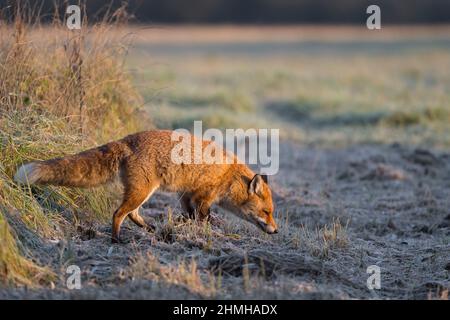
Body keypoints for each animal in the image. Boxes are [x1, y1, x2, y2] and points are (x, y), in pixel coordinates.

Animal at [14, 130, 278, 242]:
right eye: (266, 212)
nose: (276, 231)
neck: (229, 175)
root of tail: (127, 140)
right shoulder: (203, 196)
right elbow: (203, 217)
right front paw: (208, 231)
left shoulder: (186, 194)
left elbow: (190, 215)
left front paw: (187, 228)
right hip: (142, 191)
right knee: (119, 213)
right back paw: (116, 239)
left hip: (141, 192)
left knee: (132, 214)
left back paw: (149, 228)